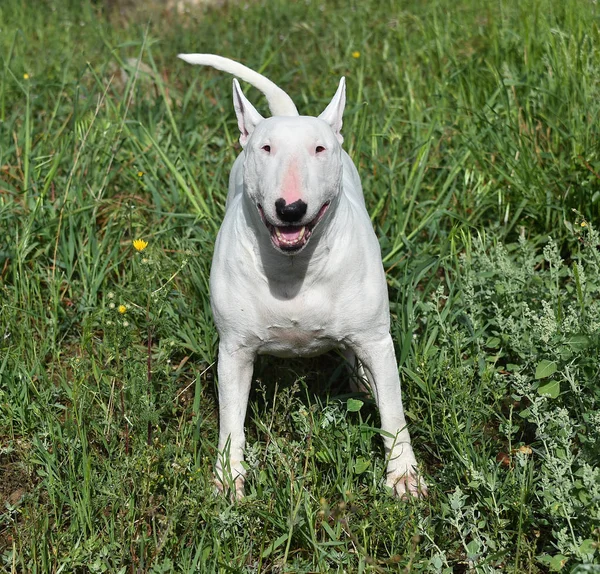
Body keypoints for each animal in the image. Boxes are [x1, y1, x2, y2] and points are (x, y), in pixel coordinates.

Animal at [178, 55, 426, 504]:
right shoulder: (234, 350)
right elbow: (230, 418)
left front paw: (403, 476)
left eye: (319, 148)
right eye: (265, 148)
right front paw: (228, 479)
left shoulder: (376, 340)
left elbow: (394, 410)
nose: (290, 208)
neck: (293, 269)